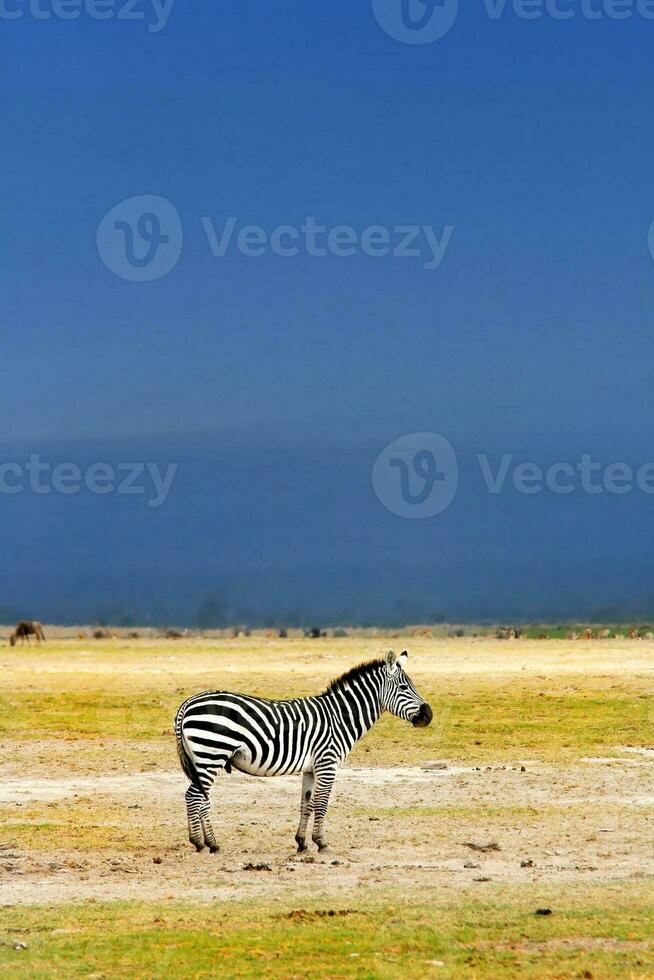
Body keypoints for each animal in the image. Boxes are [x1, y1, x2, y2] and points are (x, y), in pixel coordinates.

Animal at [174, 652, 434, 848]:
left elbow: (306, 804)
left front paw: (301, 843)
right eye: (404, 687)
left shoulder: (310, 768)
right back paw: (203, 843)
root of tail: (188, 703)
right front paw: (321, 842)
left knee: (201, 797)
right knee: (194, 796)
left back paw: (208, 841)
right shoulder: (328, 763)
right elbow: (321, 803)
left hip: (203, 758)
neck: (339, 717)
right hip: (211, 753)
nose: (428, 715)